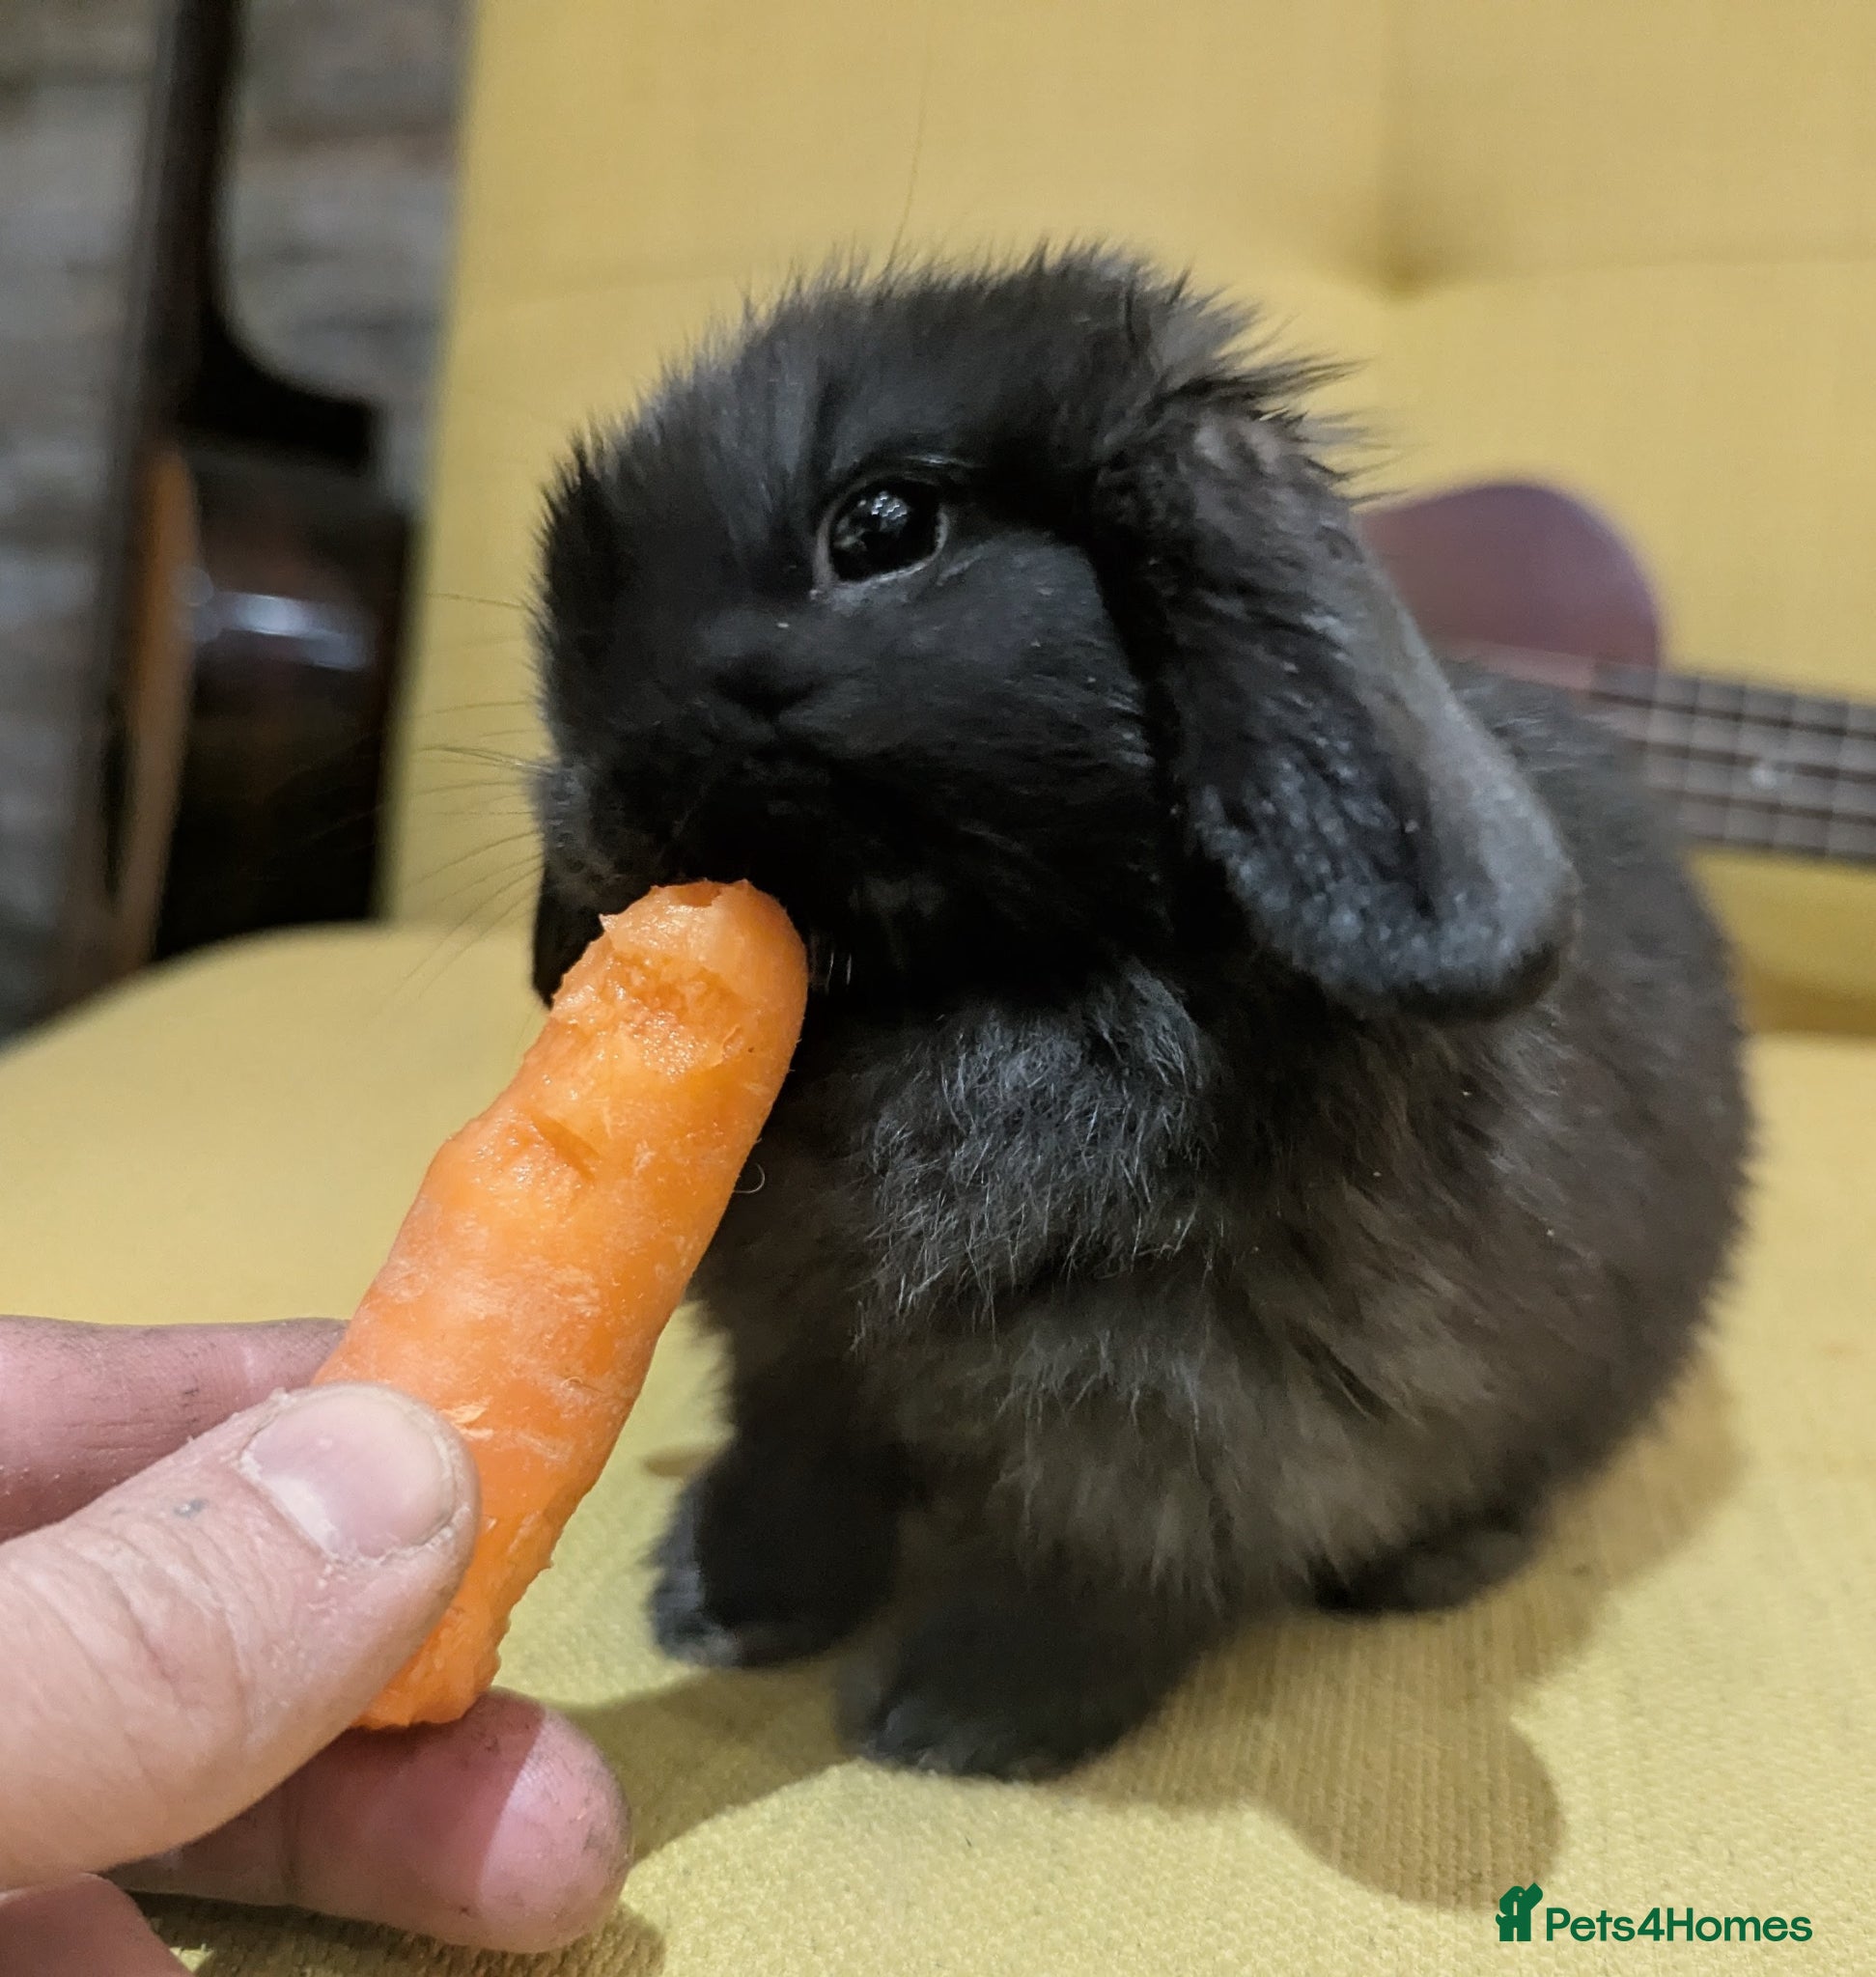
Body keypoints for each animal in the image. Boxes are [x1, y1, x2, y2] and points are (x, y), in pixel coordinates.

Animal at [528, 250, 1749, 1779]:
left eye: (885, 526)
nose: (605, 806)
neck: (987, 985)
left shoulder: (1174, 1414)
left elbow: (1112, 1568)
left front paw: (954, 1714)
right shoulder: (796, 1352)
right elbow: (796, 1458)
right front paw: (722, 1602)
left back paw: (1423, 1567)